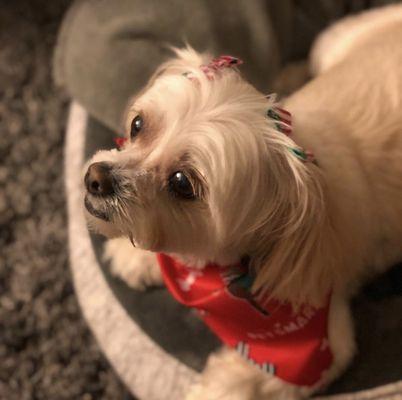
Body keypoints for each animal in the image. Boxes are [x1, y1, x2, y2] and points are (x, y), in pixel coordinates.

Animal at [83, 6, 402, 400]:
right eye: (138, 125)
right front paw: (137, 256)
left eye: (182, 183)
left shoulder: (318, 348)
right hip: (331, 42)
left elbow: (243, 381)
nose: (95, 177)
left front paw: (211, 388)